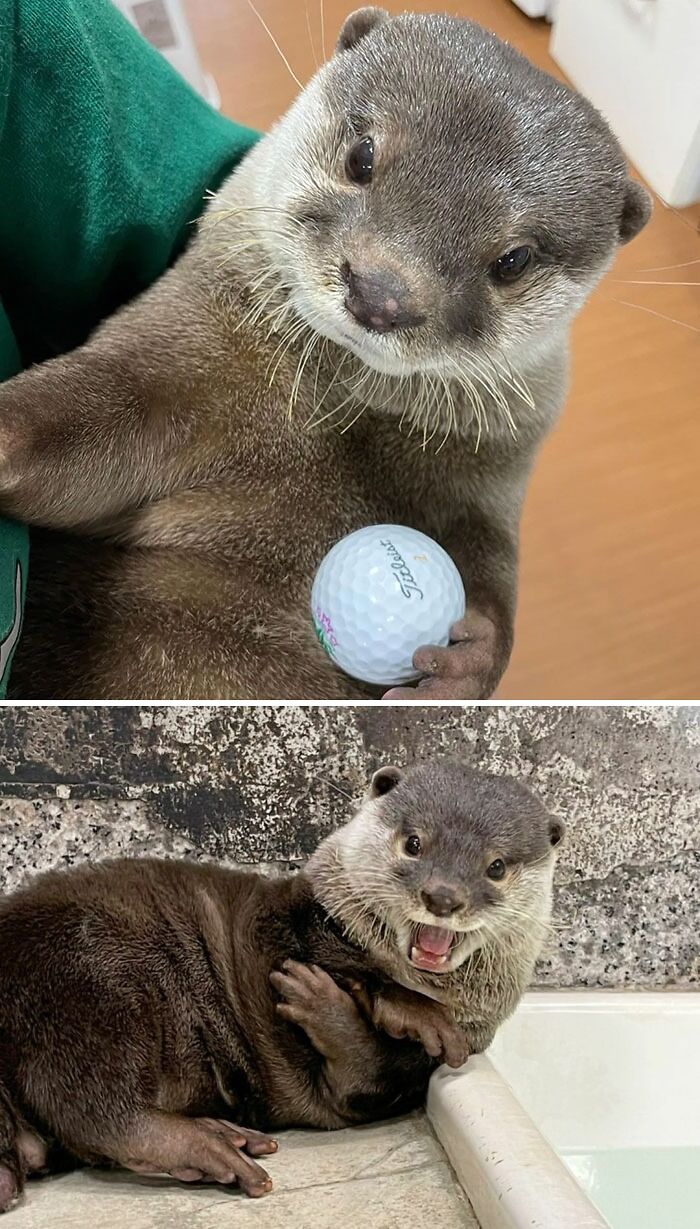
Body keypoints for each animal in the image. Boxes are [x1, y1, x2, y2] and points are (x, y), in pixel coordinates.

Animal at [0, 8, 651, 699]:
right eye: (361, 156)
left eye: (514, 259)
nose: (381, 294)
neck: (335, 411)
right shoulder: (179, 354)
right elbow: (90, 417)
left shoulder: (492, 476)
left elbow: (495, 575)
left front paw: (466, 658)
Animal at [0, 759, 564, 1212]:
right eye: (413, 843)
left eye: (496, 866)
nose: (443, 896)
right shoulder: (289, 924)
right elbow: (354, 985)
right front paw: (398, 1009)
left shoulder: (411, 1076)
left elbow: (366, 1073)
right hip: (92, 980)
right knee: (94, 1105)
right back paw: (206, 1145)